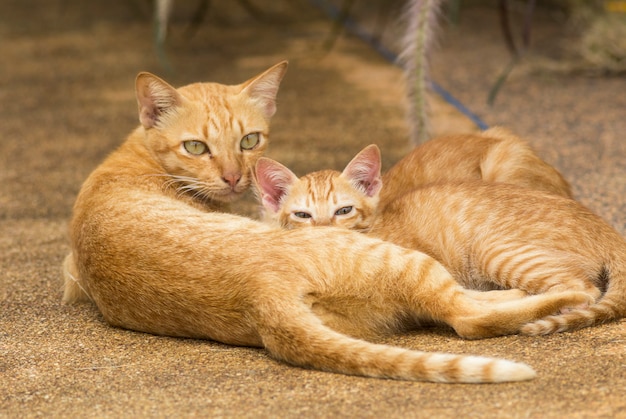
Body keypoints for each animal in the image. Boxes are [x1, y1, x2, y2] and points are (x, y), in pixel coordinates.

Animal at [254, 144, 624, 334]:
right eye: (303, 215)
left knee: (582, 289)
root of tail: (607, 229)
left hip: (492, 249)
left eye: (343, 210)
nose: (324, 230)